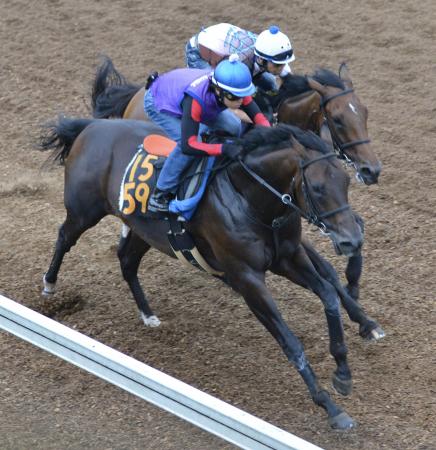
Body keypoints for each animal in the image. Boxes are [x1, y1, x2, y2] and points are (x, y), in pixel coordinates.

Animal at [39, 118, 384, 428]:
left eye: (346, 182)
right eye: (318, 187)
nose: (352, 240)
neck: (250, 199)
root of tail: (91, 125)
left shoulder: (289, 257)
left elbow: (328, 293)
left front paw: (344, 370)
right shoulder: (247, 278)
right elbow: (291, 343)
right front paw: (330, 407)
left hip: (142, 229)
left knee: (126, 260)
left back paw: (148, 314)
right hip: (85, 210)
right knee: (64, 236)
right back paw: (49, 285)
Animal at [89, 57, 374, 302]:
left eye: (364, 113)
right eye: (338, 119)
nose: (372, 169)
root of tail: (139, 93)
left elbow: (353, 228)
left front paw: (353, 285)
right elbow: (325, 268)